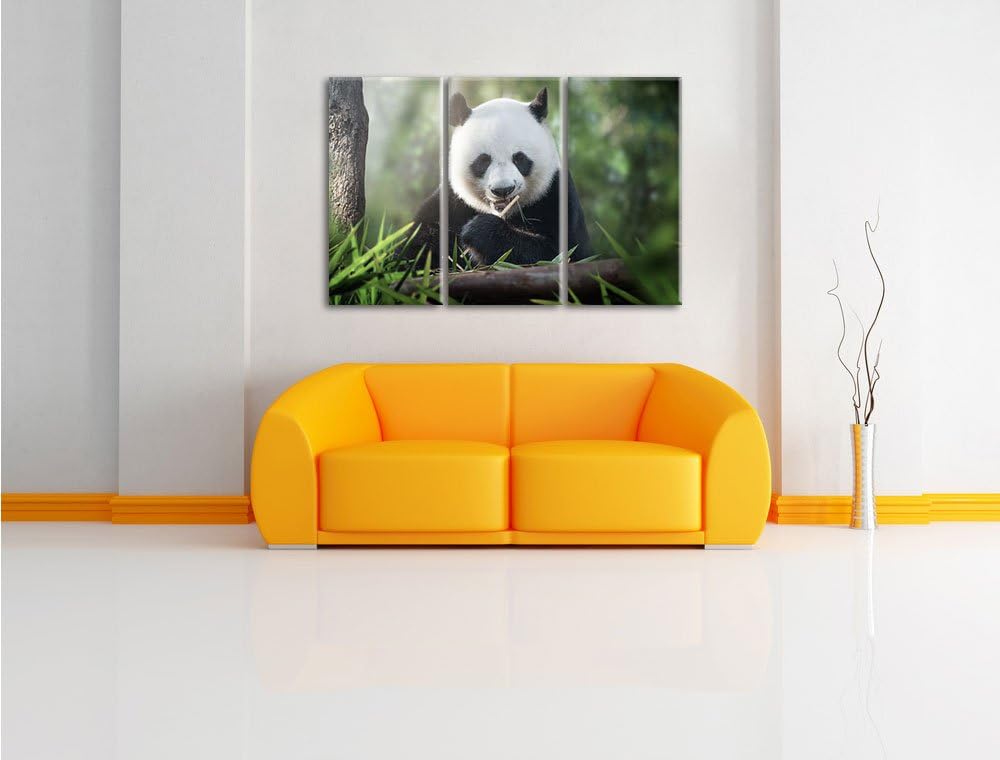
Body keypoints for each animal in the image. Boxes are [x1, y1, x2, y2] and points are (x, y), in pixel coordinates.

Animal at [409, 87, 592, 267]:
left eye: (519, 158)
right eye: (483, 160)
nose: (503, 190)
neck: (504, 213)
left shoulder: (555, 196)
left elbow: (562, 254)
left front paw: (479, 231)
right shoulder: (452, 202)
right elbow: (419, 246)